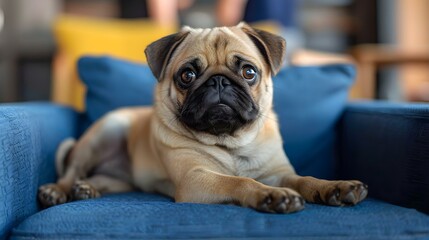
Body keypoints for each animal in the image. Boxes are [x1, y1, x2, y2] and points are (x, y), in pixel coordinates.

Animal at [38, 23, 366, 214]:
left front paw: (335, 187)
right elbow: (240, 182)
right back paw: (58, 191)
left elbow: (306, 180)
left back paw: (87, 189)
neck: (232, 143)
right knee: (71, 172)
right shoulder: (197, 179)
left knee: (104, 180)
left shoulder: (280, 172)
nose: (218, 81)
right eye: (187, 75)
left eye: (249, 72)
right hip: (105, 131)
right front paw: (271, 197)